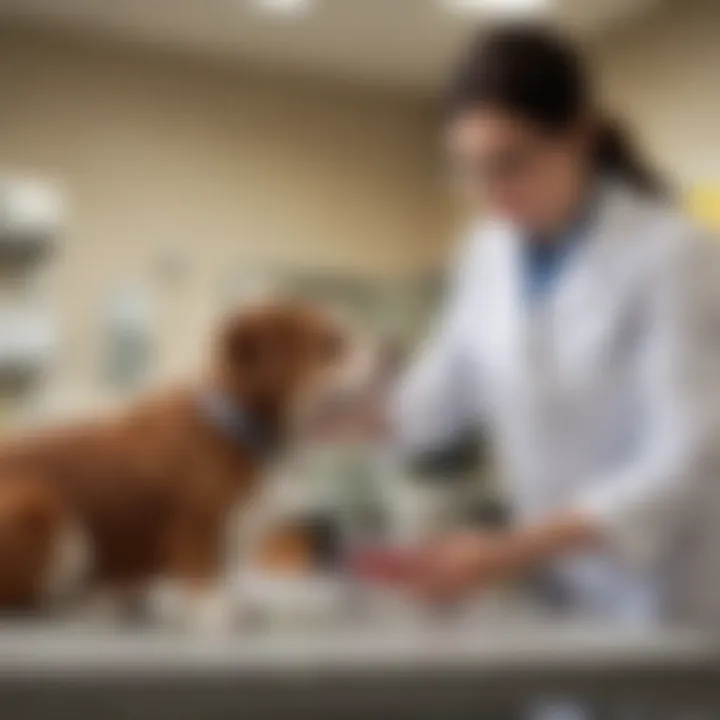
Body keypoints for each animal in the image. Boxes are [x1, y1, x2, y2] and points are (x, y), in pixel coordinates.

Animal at [0, 300, 374, 628]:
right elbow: (203, 569)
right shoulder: (196, 524)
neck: (239, 425)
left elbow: (229, 571)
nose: (388, 354)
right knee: (27, 601)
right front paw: (214, 610)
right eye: (332, 344)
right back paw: (98, 604)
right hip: (37, 504)